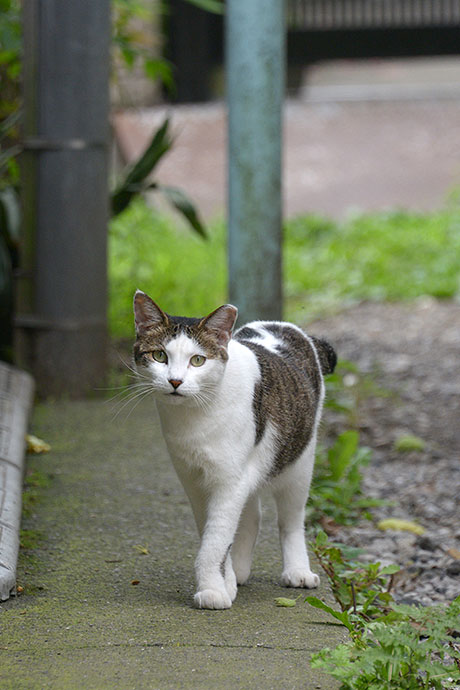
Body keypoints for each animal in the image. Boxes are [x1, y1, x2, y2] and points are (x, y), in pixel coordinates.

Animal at [131, 288, 336, 608]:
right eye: (160, 355)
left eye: (198, 360)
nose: (175, 381)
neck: (195, 418)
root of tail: (287, 326)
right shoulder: (193, 480)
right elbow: (214, 534)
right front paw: (225, 582)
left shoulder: (229, 480)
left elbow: (216, 540)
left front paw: (212, 590)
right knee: (252, 517)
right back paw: (239, 571)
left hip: (299, 462)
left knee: (291, 520)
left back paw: (298, 571)